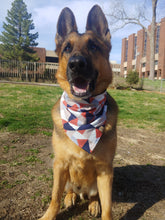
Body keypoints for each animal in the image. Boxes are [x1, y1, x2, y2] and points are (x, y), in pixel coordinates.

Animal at [39, 5, 118, 220]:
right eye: (67, 48)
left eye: (93, 46)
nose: (76, 64)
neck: (84, 111)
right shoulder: (60, 165)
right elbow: (54, 197)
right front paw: (49, 215)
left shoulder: (105, 170)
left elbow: (108, 207)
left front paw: (102, 209)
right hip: (66, 176)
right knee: (67, 190)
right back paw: (71, 197)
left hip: (97, 182)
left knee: (95, 196)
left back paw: (93, 204)